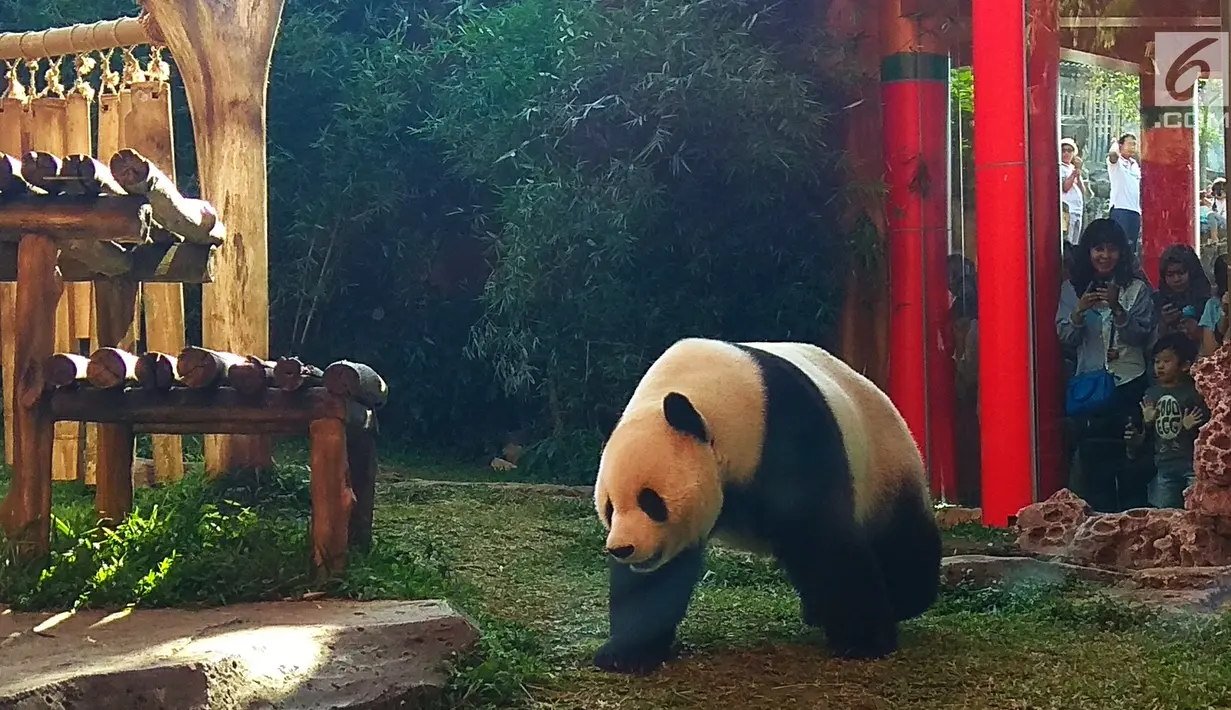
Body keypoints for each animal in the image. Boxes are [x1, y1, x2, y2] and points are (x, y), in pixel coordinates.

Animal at [591, 337, 942, 675]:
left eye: (651, 501)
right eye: (610, 507)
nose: (622, 549)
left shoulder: (789, 434)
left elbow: (822, 537)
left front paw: (864, 640)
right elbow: (652, 582)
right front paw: (625, 653)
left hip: (885, 466)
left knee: (902, 542)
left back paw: (905, 598)